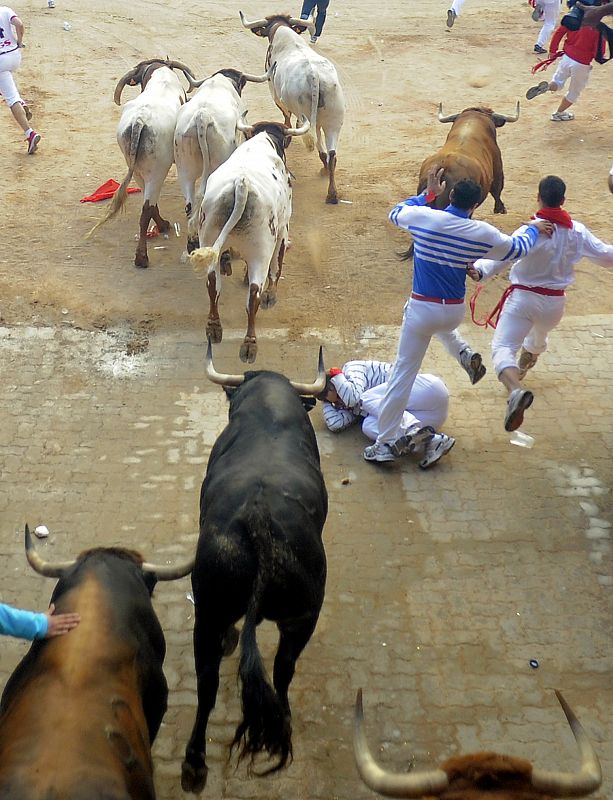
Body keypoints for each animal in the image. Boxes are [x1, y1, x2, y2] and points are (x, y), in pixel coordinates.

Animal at [179, 368, 328, 792]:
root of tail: (258, 515)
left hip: (211, 612)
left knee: (210, 683)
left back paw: (194, 763)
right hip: (300, 617)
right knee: (280, 671)